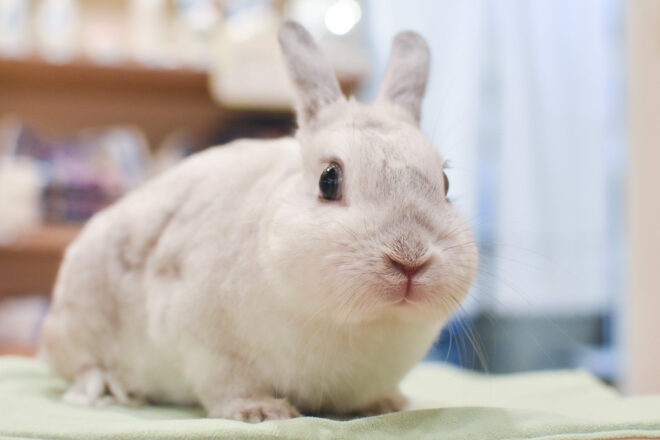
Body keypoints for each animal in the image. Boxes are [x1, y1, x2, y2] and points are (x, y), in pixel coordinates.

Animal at [40, 21, 478, 423]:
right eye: (329, 180)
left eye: (445, 182)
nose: (410, 258)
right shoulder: (204, 342)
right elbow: (227, 386)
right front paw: (262, 411)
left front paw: (388, 404)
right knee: (79, 364)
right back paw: (105, 385)